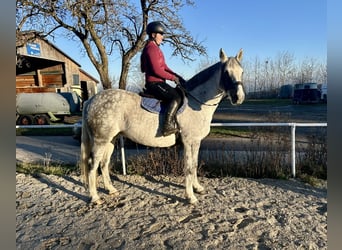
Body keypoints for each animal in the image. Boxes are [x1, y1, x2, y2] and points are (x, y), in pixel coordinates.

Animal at [80, 47, 244, 204]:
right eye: (226, 73)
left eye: (241, 72)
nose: (239, 98)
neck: (196, 102)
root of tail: (91, 100)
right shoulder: (188, 141)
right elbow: (188, 167)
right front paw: (190, 196)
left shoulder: (196, 142)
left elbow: (194, 165)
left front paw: (197, 188)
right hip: (100, 141)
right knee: (93, 166)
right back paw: (95, 197)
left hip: (111, 140)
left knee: (104, 164)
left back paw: (111, 190)